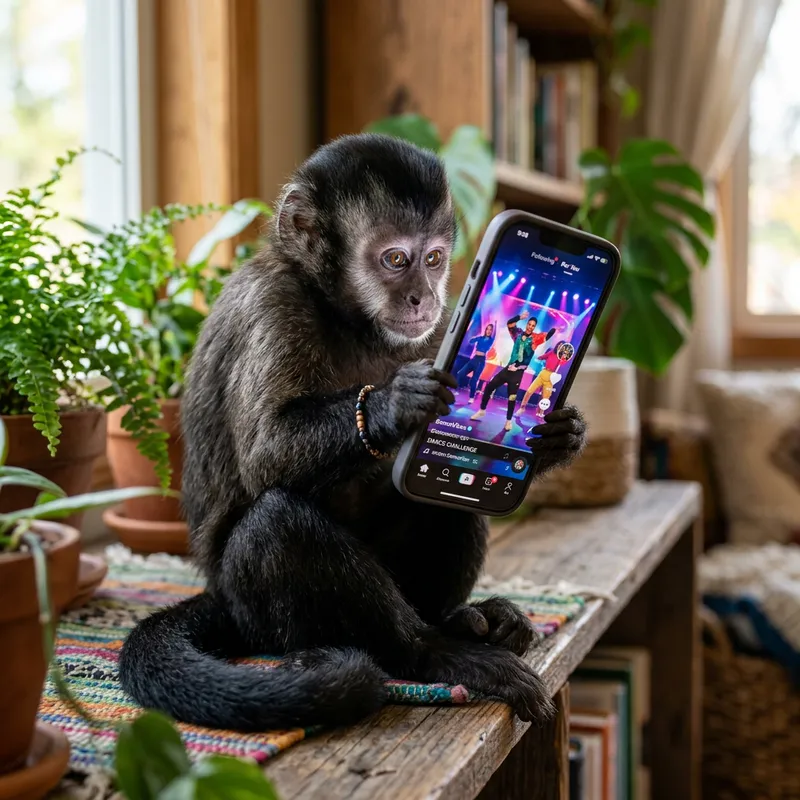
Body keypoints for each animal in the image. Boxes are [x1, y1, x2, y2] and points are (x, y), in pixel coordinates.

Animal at [118, 134, 587, 732]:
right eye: (396, 259)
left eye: (434, 260)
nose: (424, 296)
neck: (347, 317)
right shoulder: (273, 305)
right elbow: (267, 453)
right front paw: (394, 404)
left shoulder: (433, 330)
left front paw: (558, 436)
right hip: (257, 615)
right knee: (275, 522)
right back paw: (432, 653)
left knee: (444, 499)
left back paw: (460, 619)